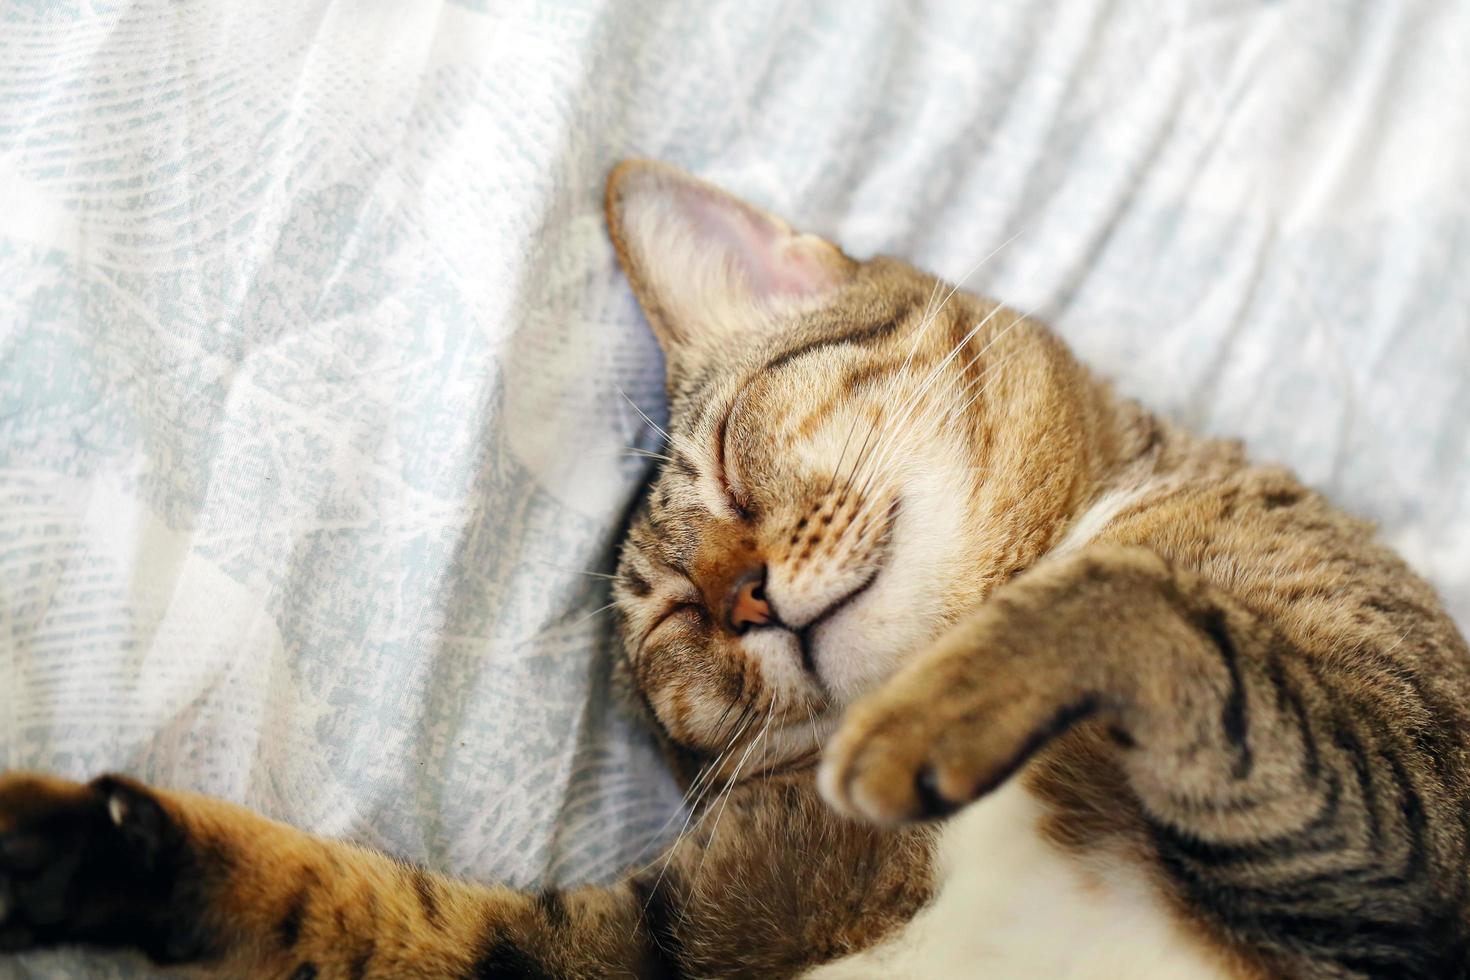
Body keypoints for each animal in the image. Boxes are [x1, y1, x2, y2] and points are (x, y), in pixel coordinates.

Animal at [2, 163, 1470, 980]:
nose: (739, 597)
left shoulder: (1423, 818)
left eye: (721, 461)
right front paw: (77, 848)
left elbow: (1151, 613)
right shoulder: (656, 941)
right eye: (670, 625)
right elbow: (356, 906)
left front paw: (955, 692)